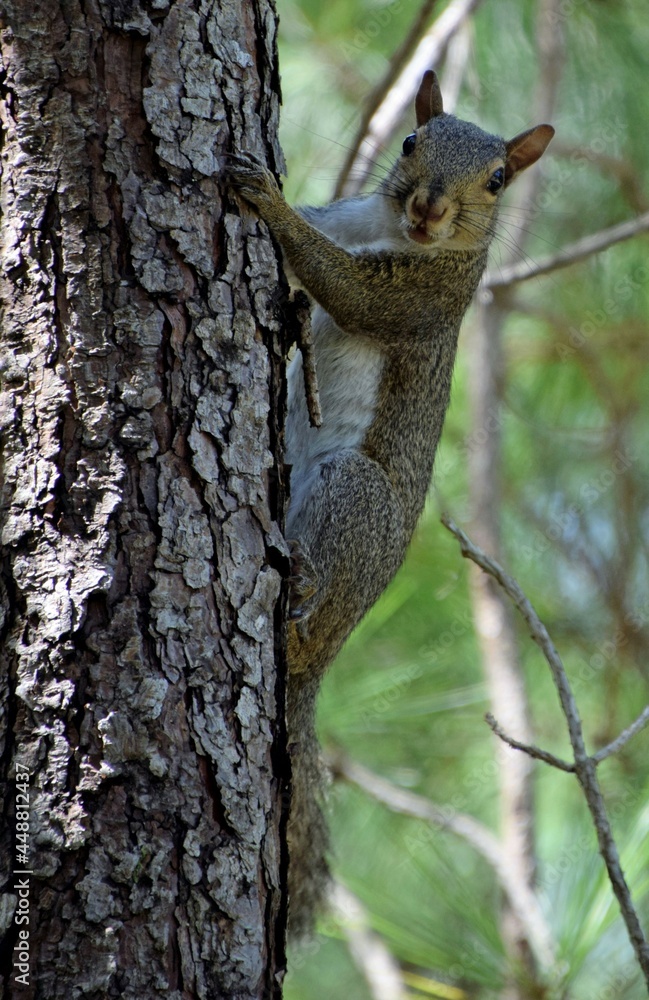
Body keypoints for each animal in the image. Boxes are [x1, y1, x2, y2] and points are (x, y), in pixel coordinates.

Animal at [225, 70, 554, 936]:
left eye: (498, 180)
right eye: (409, 142)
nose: (430, 210)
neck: (392, 232)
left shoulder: (424, 298)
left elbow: (343, 286)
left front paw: (265, 200)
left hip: (354, 495)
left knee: (308, 614)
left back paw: (298, 595)